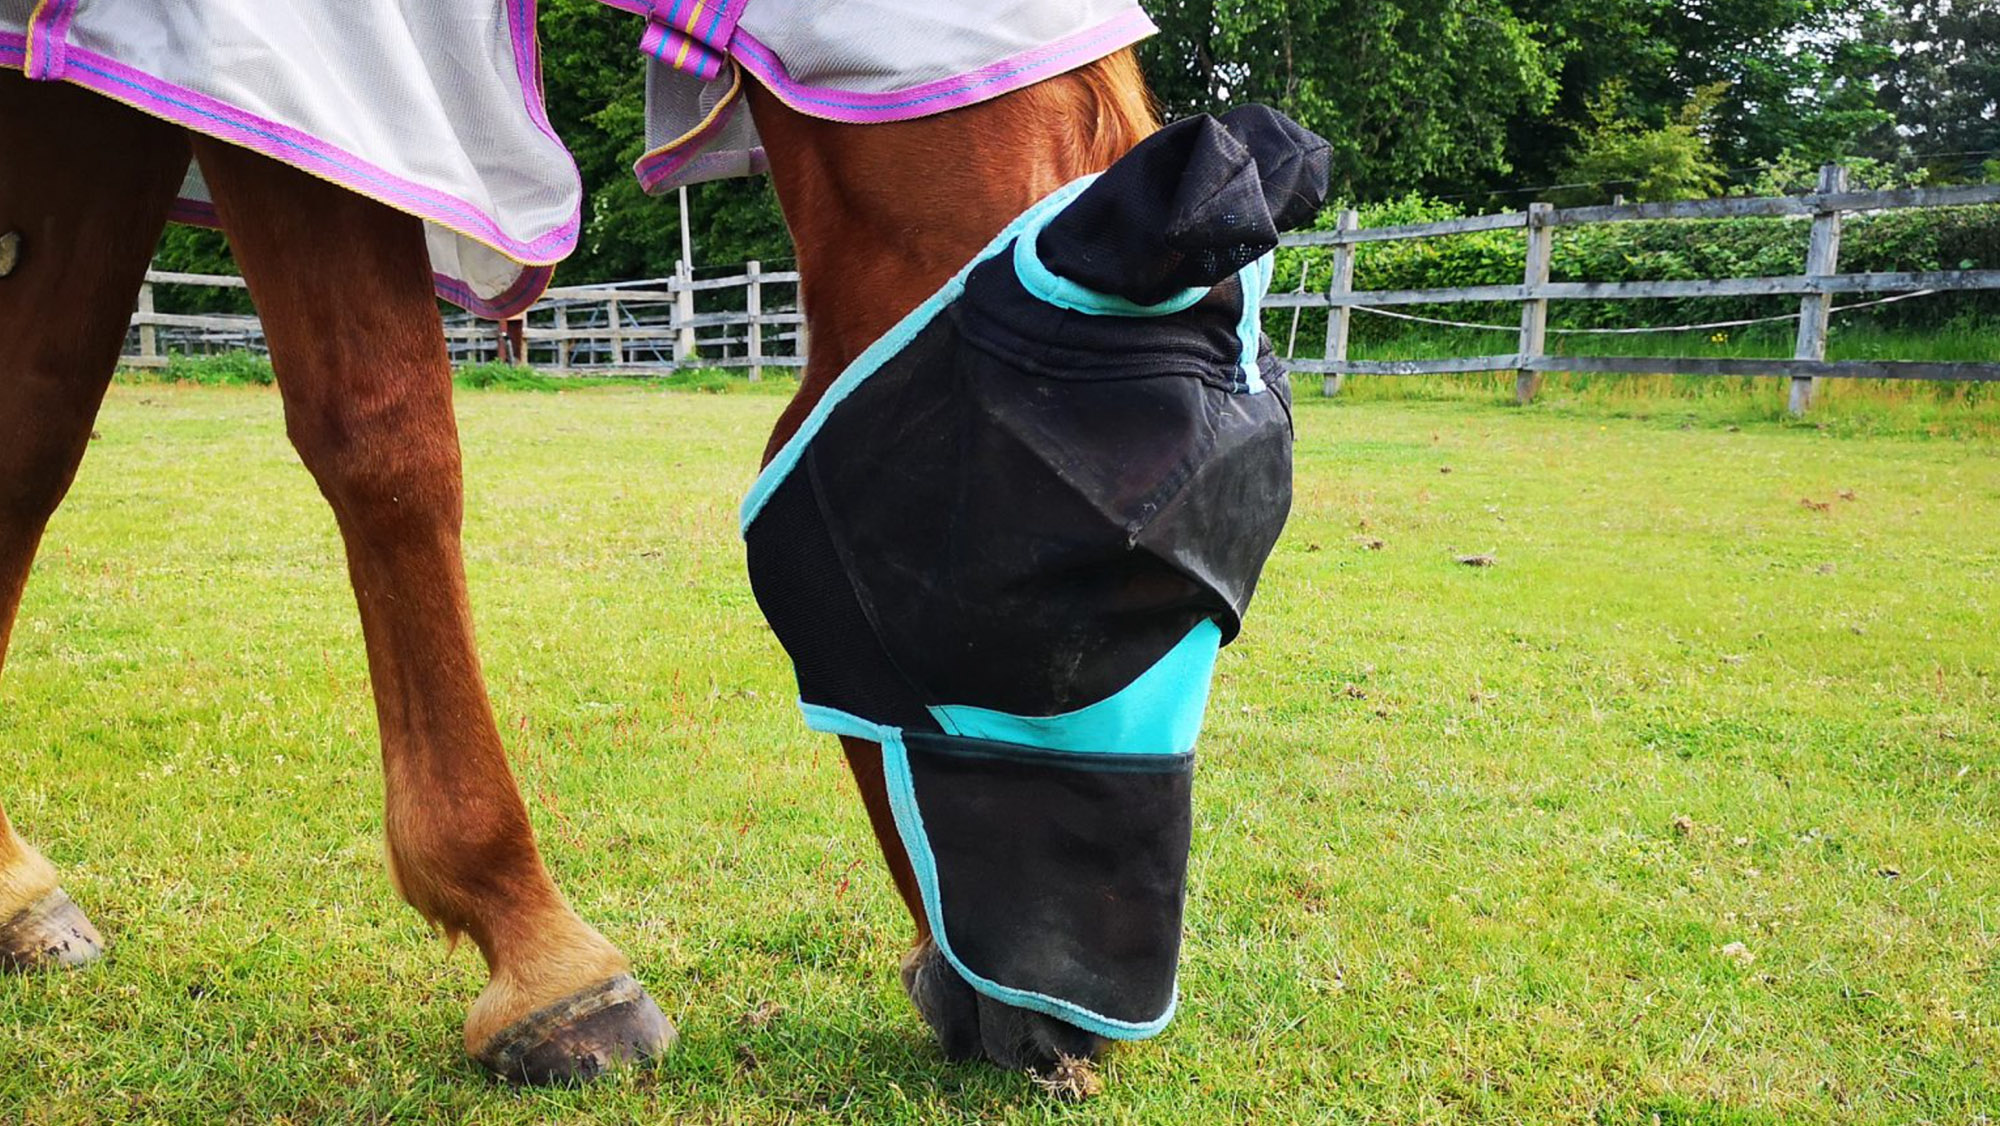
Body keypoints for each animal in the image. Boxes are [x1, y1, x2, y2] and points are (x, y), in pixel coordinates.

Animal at [0, 33, 1162, 1084]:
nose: (1079, 1037)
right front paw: (542, 956)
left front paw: (17, 888)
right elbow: (387, 430)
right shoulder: (288, 88)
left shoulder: (106, 113)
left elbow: (36, 426)